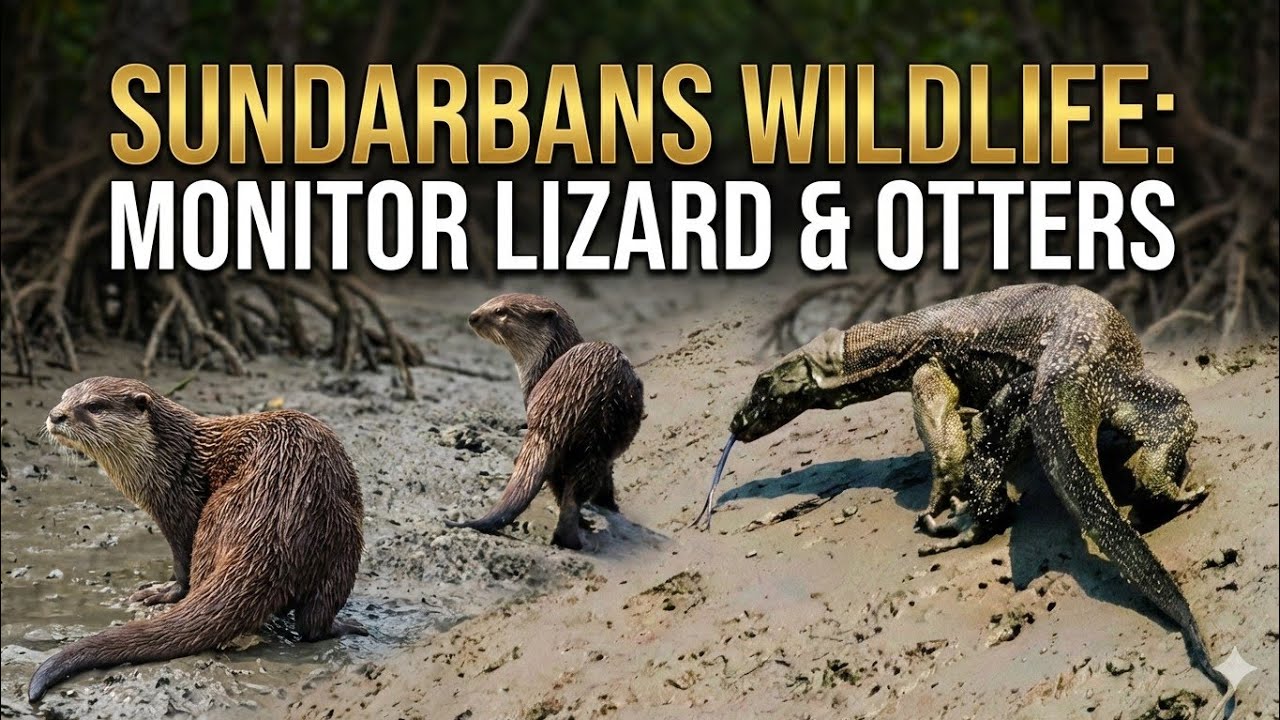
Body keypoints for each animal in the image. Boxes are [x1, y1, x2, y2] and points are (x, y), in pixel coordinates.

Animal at [28, 377, 365, 702]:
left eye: (94, 406)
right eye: (65, 396)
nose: (55, 415)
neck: (176, 461)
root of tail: (275, 522)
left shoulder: (179, 506)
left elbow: (182, 564)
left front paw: (163, 591)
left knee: (309, 625)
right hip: (340, 534)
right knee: (312, 619)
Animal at [446, 293, 644, 549]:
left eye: (500, 311)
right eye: (489, 300)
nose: (472, 316)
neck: (544, 366)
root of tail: (561, 410)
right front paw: (609, 507)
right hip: (595, 444)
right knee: (571, 489)